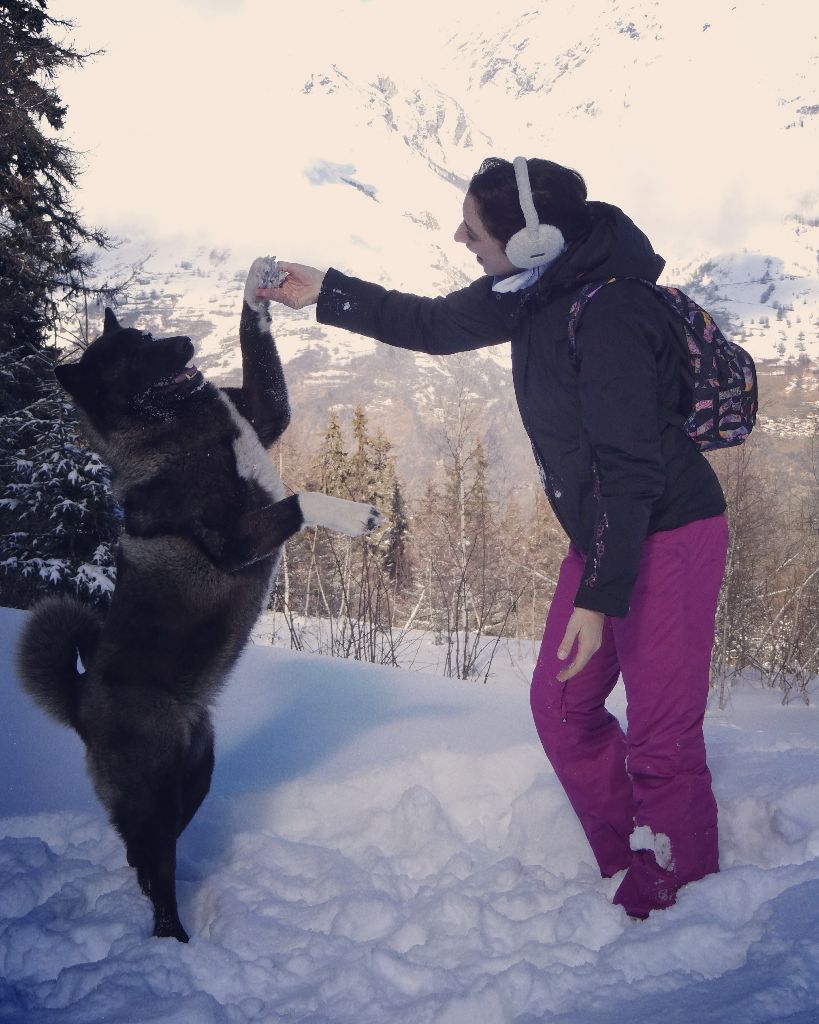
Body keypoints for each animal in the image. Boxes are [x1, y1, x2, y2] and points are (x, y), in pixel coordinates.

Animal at [15, 258, 380, 942]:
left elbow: (256, 351)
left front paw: (259, 283)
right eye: (130, 359)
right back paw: (175, 941)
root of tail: (80, 700)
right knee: (153, 865)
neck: (176, 429)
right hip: (155, 790)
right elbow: (300, 501)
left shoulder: (263, 415)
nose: (184, 343)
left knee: (144, 857)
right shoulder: (236, 541)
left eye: (147, 336)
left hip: (197, 772)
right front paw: (354, 515)